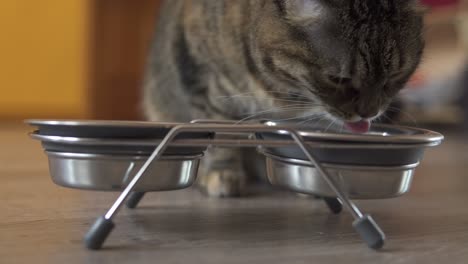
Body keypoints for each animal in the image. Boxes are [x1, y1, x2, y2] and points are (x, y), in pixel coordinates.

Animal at [142, 0, 424, 197]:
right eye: (338, 79)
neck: (282, 87)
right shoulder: (204, 78)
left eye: (395, 76)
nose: (369, 112)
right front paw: (223, 173)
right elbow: (219, 135)